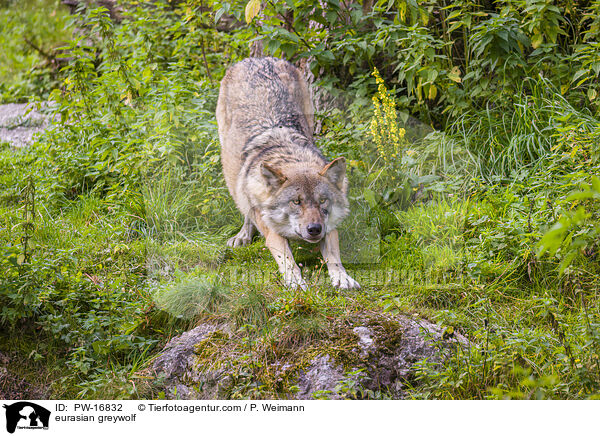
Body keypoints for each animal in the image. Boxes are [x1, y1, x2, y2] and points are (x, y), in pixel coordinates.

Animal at [218, 57, 360, 290]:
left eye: (323, 201)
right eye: (296, 202)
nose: (314, 229)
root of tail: (258, 58)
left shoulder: (329, 227)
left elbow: (333, 256)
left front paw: (342, 277)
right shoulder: (272, 231)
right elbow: (287, 258)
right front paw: (295, 281)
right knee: (244, 204)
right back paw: (243, 236)